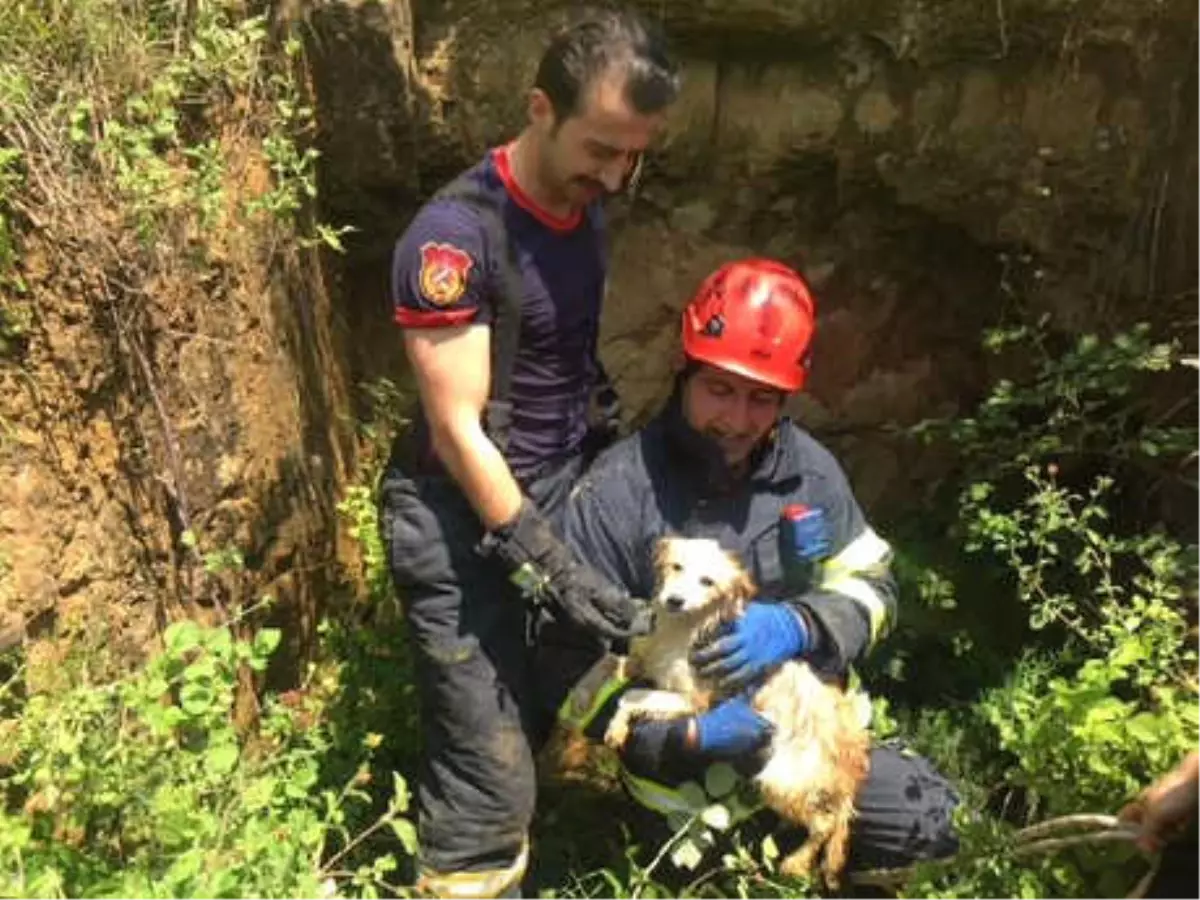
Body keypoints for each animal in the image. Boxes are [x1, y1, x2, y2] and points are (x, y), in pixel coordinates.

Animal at [604, 535, 868, 888]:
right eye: (676, 566)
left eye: (707, 581)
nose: (674, 600)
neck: (681, 627)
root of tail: (850, 756)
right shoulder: (648, 663)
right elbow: (624, 671)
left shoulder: (693, 699)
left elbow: (631, 696)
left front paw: (619, 722)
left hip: (780, 780)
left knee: (824, 824)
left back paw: (796, 862)